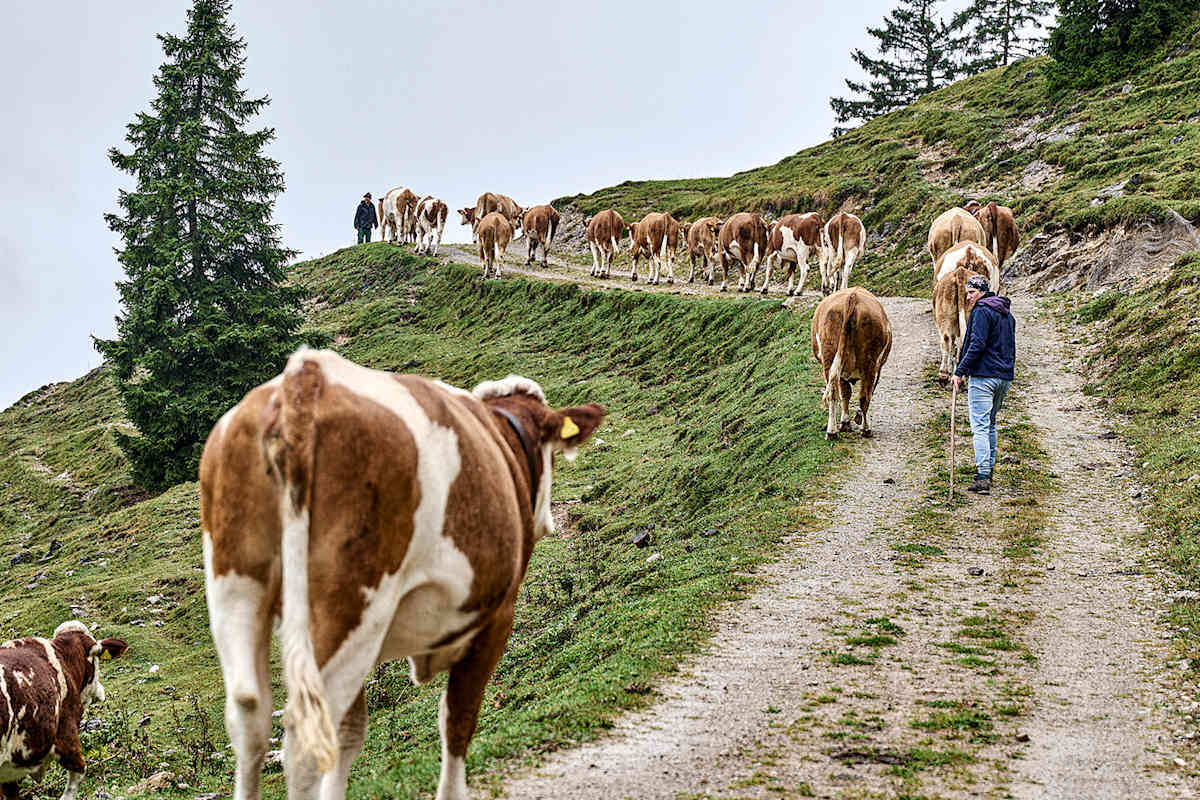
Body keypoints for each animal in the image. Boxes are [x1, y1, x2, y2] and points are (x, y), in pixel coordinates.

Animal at [199, 348, 606, 800]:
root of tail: (306, 376)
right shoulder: (497, 618)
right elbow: (458, 721)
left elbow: (351, 733)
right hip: (351, 606)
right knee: (305, 740)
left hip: (236, 586)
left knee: (250, 715)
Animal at [810, 287, 892, 439]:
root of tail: (853, 296)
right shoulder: (878, 368)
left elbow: (846, 394)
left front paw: (845, 423)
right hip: (870, 363)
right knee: (864, 396)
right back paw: (866, 429)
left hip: (830, 356)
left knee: (834, 393)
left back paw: (831, 432)